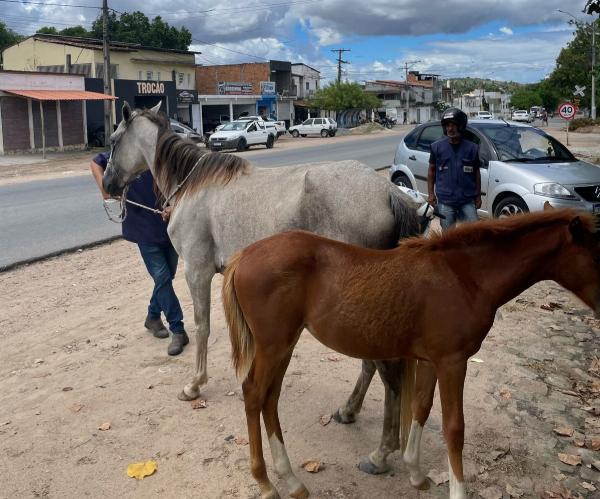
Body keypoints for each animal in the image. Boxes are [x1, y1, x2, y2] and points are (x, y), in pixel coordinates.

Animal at [103, 102, 420, 402]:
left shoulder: (197, 271)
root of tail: (387, 191)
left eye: (114, 140)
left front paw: (195, 384)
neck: (193, 185)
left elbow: (202, 326)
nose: (107, 185)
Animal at [224, 211, 600, 499]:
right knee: (254, 394)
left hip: (283, 345)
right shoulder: (453, 362)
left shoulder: (433, 360)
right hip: (273, 345)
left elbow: (421, 407)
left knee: (270, 398)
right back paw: (266, 483)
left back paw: (291, 481)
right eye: (599, 255)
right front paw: (457, 491)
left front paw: (415, 474)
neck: (465, 277)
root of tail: (242, 255)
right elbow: (454, 428)